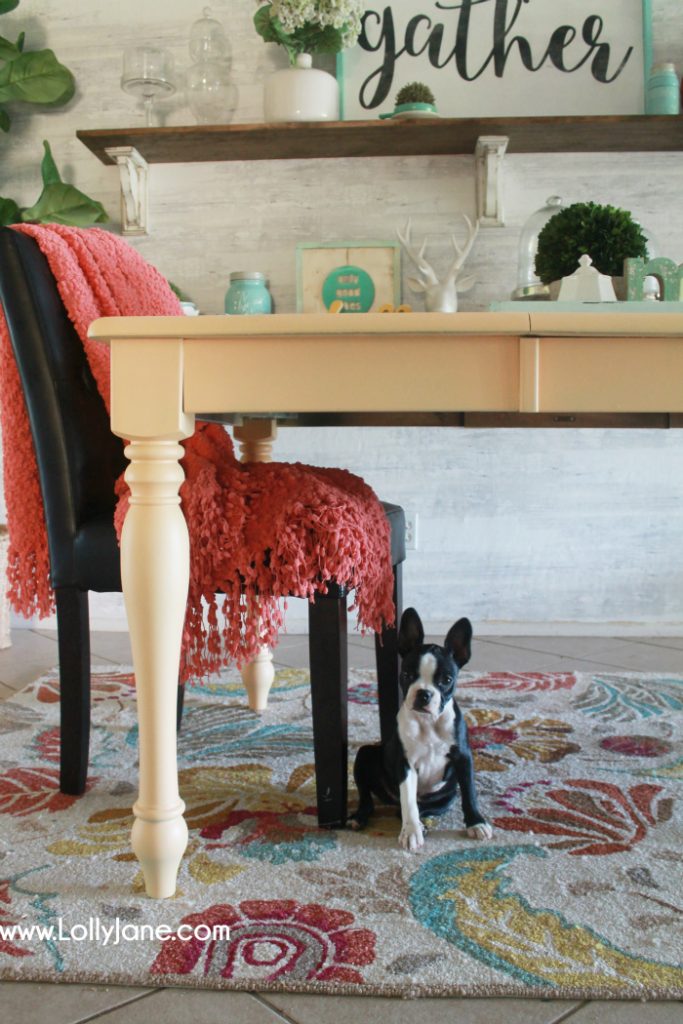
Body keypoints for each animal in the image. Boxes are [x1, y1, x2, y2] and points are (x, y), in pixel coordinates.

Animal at [352, 606, 491, 847]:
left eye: (446, 680)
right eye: (407, 675)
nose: (424, 693)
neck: (429, 723)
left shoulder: (463, 757)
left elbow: (469, 791)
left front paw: (476, 822)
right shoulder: (405, 763)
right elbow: (408, 800)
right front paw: (411, 832)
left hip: (446, 796)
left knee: (419, 808)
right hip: (364, 754)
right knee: (369, 797)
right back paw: (360, 817)